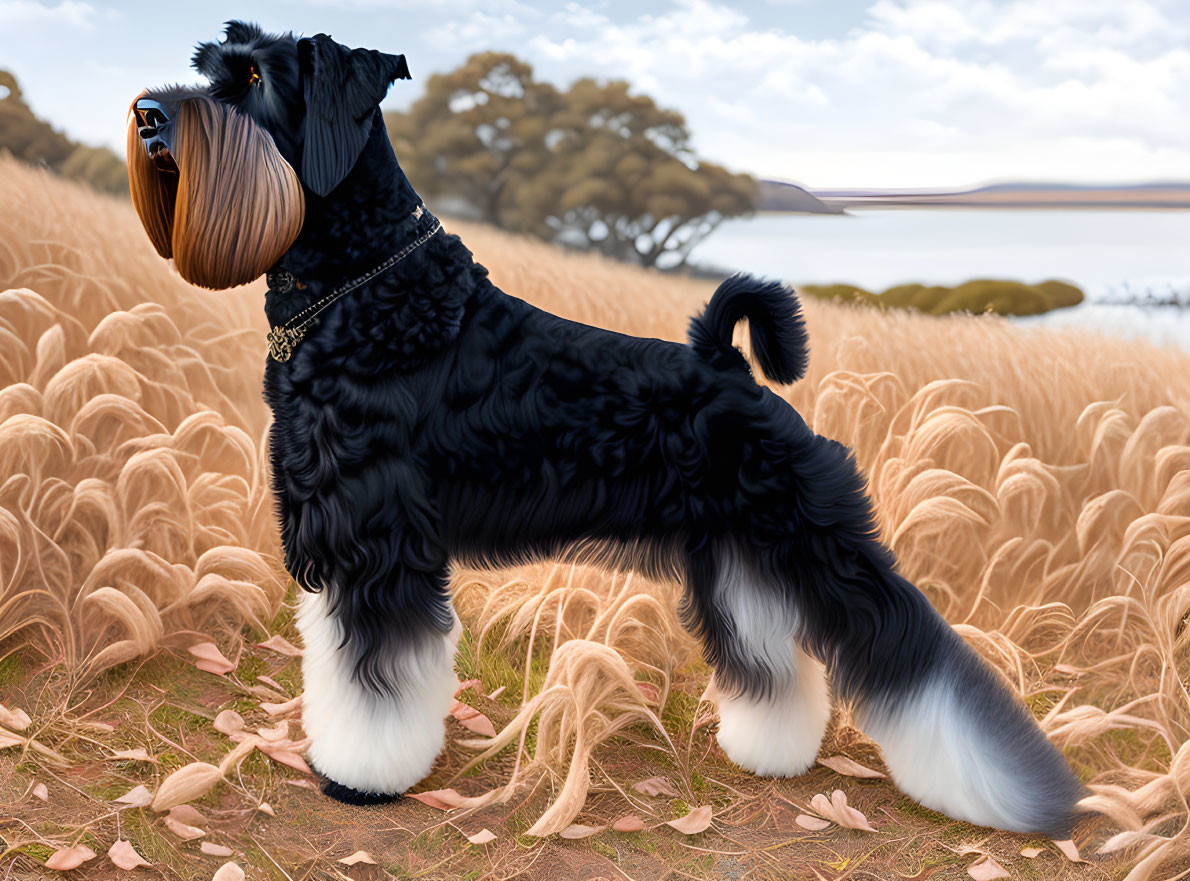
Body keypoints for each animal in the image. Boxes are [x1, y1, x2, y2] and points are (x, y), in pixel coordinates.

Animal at [125, 20, 1085, 833]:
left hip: (815, 544)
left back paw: (1000, 793)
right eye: (211, 65)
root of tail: (730, 369)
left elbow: (377, 678)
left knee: (917, 658)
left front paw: (363, 774)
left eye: (254, 79)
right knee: (772, 662)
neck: (361, 292)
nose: (147, 116)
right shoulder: (333, 534)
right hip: (740, 556)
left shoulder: (379, 546)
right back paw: (769, 754)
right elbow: (337, 658)